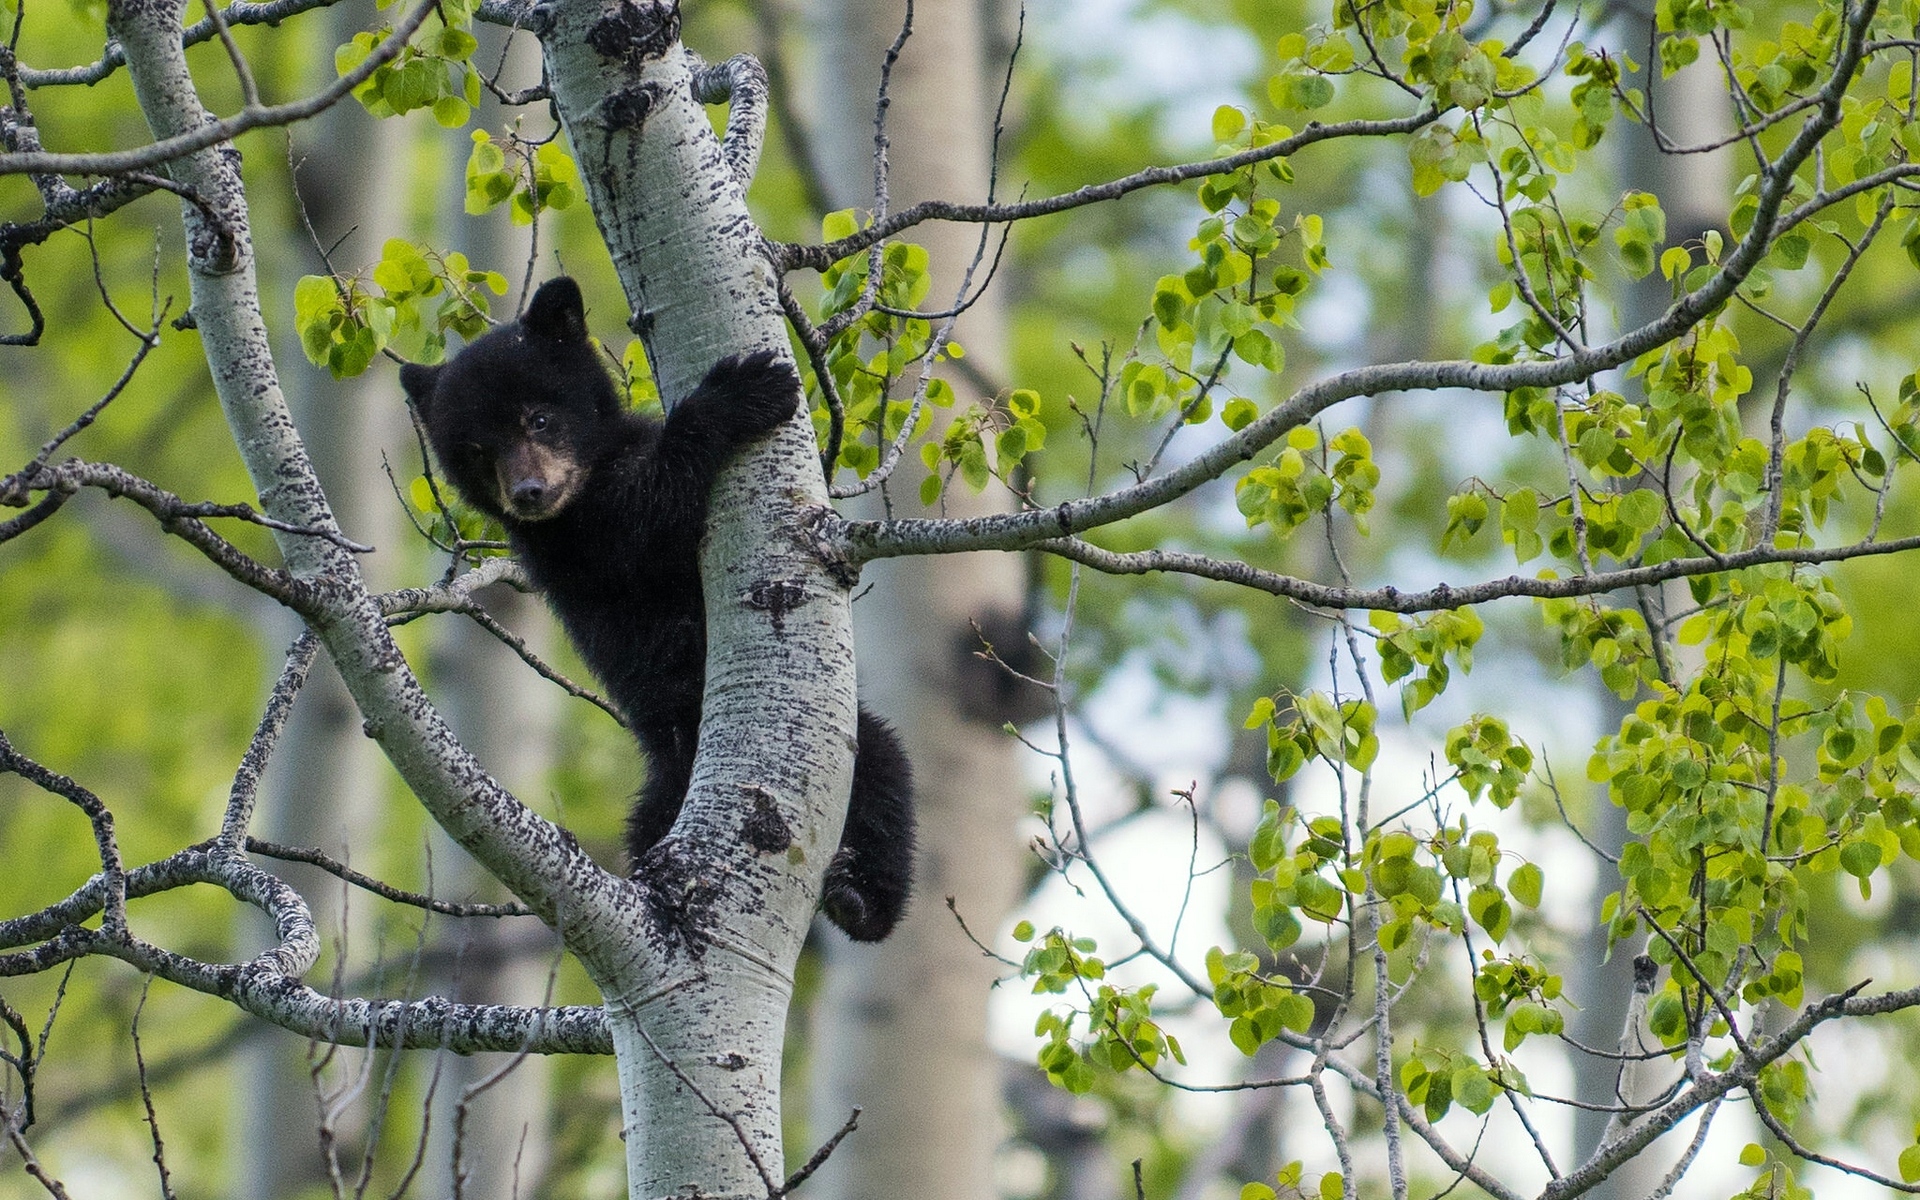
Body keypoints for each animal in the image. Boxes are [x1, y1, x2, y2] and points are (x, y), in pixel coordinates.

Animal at [399, 276, 914, 942]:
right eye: (478, 450)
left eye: (539, 418)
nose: (529, 493)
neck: (590, 477)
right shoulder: (575, 544)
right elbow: (647, 519)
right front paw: (739, 389)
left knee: (886, 786)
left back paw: (860, 898)